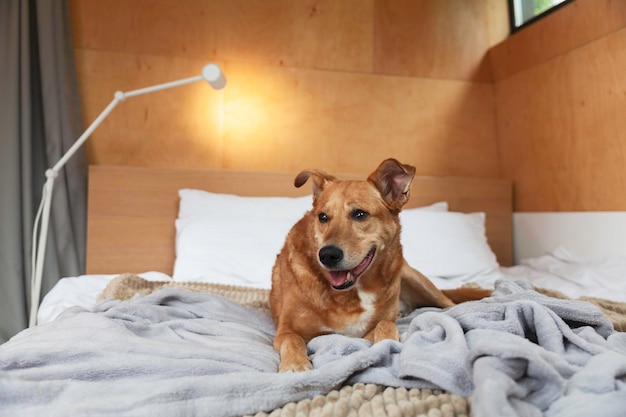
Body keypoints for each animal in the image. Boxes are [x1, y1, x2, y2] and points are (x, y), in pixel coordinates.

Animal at [268, 158, 488, 370]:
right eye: (323, 217)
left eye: (360, 214)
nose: (327, 255)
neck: (354, 292)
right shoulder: (286, 331)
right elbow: (293, 340)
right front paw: (295, 364)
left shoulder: (374, 327)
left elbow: (386, 325)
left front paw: (386, 343)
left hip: (416, 280)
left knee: (452, 306)